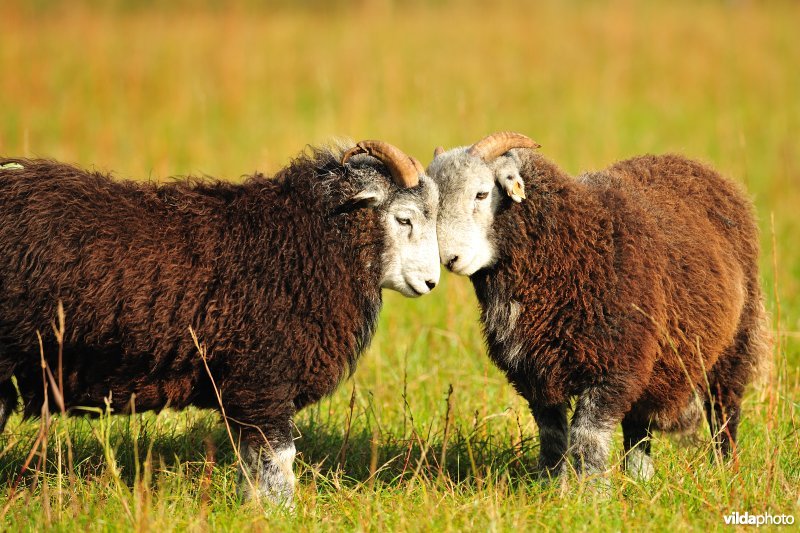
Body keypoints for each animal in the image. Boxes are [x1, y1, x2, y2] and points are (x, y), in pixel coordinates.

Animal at [0, 138, 444, 502]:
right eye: (404, 218)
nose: (431, 282)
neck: (311, 239)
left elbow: (254, 465)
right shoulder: (264, 379)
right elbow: (278, 463)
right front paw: (279, 514)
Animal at [428, 131, 772, 480]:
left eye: (482, 194)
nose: (449, 258)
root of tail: (691, 163)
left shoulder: (615, 366)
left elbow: (588, 436)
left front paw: (589, 489)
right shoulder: (535, 373)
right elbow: (552, 436)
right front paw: (549, 484)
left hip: (733, 343)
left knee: (724, 411)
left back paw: (725, 469)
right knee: (638, 426)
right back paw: (639, 479)